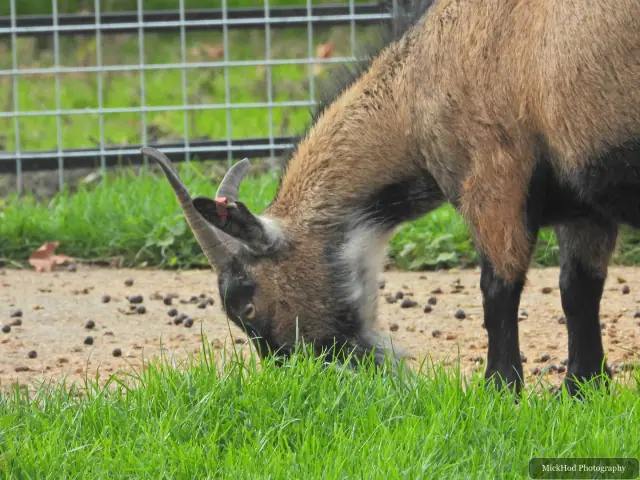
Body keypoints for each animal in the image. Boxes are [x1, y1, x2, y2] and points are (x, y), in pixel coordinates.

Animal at [142, 0, 640, 396]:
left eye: (247, 306)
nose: (307, 376)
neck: (415, 90)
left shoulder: (494, 179)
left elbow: (498, 290)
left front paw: (500, 390)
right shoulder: (581, 208)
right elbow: (578, 290)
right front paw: (583, 389)